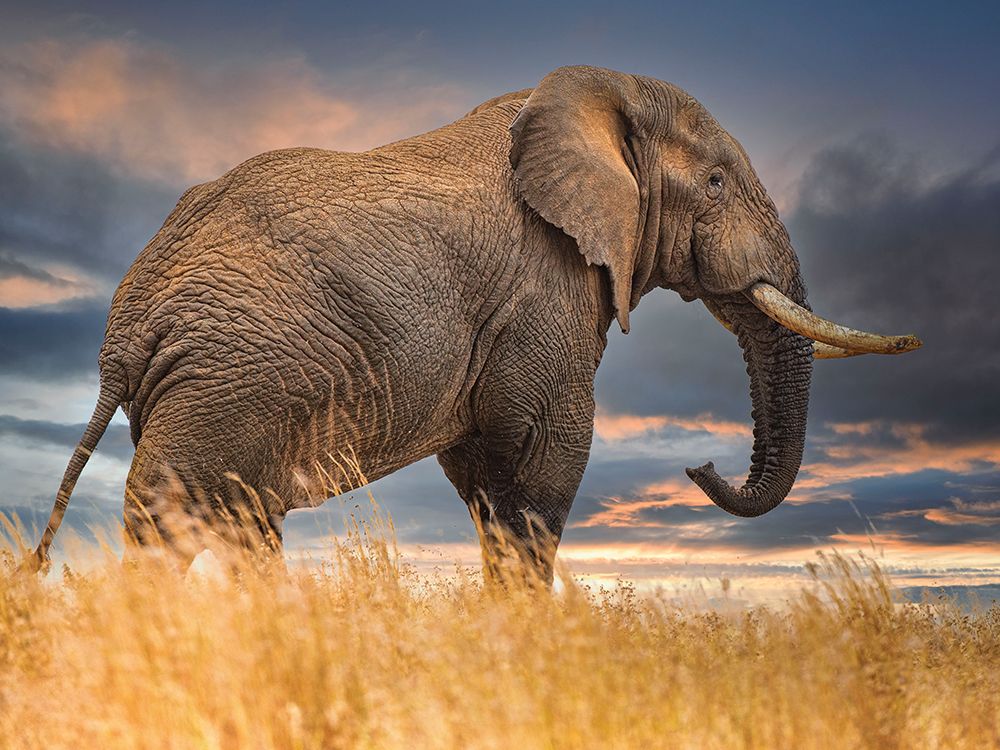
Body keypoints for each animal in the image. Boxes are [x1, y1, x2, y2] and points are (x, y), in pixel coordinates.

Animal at [30, 66, 920, 580]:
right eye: (715, 184)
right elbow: (543, 453)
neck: (596, 99)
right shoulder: (546, 283)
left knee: (237, 521)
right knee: (170, 513)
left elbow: (485, 471)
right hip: (230, 373)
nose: (701, 466)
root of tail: (124, 329)